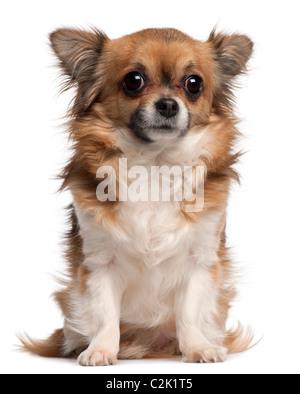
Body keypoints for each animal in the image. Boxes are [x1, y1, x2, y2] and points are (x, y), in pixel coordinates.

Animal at [21, 27, 254, 366]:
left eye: (193, 84)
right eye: (134, 80)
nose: (168, 104)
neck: (155, 165)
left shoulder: (200, 259)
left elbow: (189, 313)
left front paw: (198, 347)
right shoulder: (99, 262)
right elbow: (105, 314)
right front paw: (101, 350)